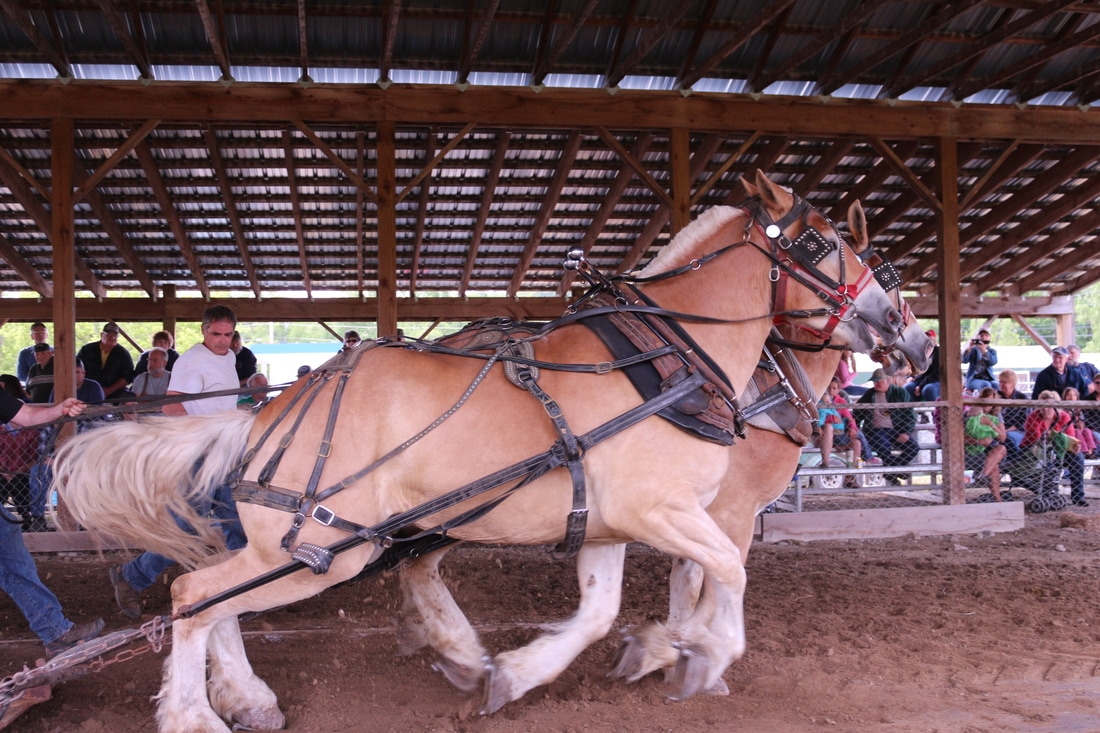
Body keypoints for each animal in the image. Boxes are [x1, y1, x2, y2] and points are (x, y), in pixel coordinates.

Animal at [53, 168, 902, 726]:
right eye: (822, 242)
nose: (898, 326)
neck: (671, 360)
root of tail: (268, 414)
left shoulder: (614, 520)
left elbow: (605, 609)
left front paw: (531, 671)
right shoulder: (673, 510)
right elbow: (726, 574)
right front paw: (697, 653)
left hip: (319, 544)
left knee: (212, 595)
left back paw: (254, 695)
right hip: (320, 547)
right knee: (193, 595)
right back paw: (196, 712)